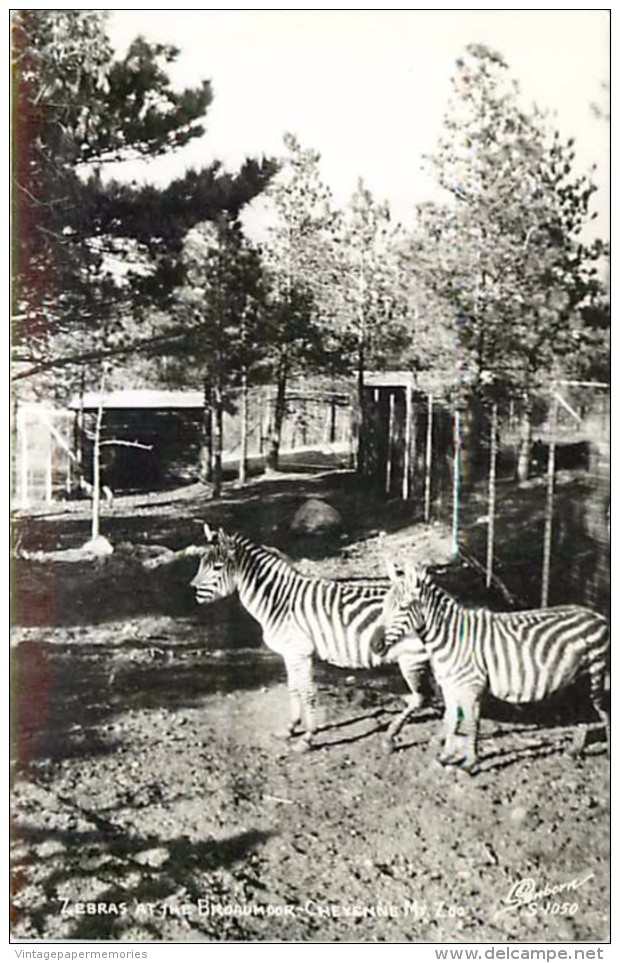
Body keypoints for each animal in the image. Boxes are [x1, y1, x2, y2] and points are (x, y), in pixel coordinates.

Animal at [191, 528, 428, 752]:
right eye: (202, 563)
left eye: (217, 567)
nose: (193, 592)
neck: (279, 601)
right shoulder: (289, 653)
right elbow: (294, 689)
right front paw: (290, 728)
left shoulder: (300, 652)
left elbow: (308, 693)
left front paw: (307, 737)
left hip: (411, 656)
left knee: (420, 697)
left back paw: (390, 737)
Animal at [370, 560, 608, 772]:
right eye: (384, 606)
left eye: (403, 607)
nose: (374, 645)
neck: (450, 638)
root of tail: (598, 615)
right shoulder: (449, 687)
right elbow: (451, 721)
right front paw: (445, 757)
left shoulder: (471, 688)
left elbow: (471, 724)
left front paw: (470, 763)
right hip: (579, 679)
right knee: (584, 712)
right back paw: (574, 750)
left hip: (596, 675)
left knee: (604, 711)